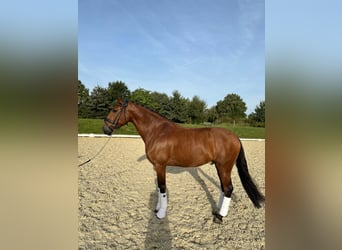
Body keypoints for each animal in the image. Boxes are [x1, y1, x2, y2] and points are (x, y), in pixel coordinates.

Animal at [103, 97, 264, 223]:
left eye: (115, 110)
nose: (105, 129)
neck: (156, 131)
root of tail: (235, 137)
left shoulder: (160, 166)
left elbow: (162, 188)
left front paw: (161, 213)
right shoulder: (156, 166)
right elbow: (158, 187)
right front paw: (157, 208)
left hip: (224, 166)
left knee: (228, 188)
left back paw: (220, 216)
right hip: (220, 167)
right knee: (224, 188)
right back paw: (217, 211)